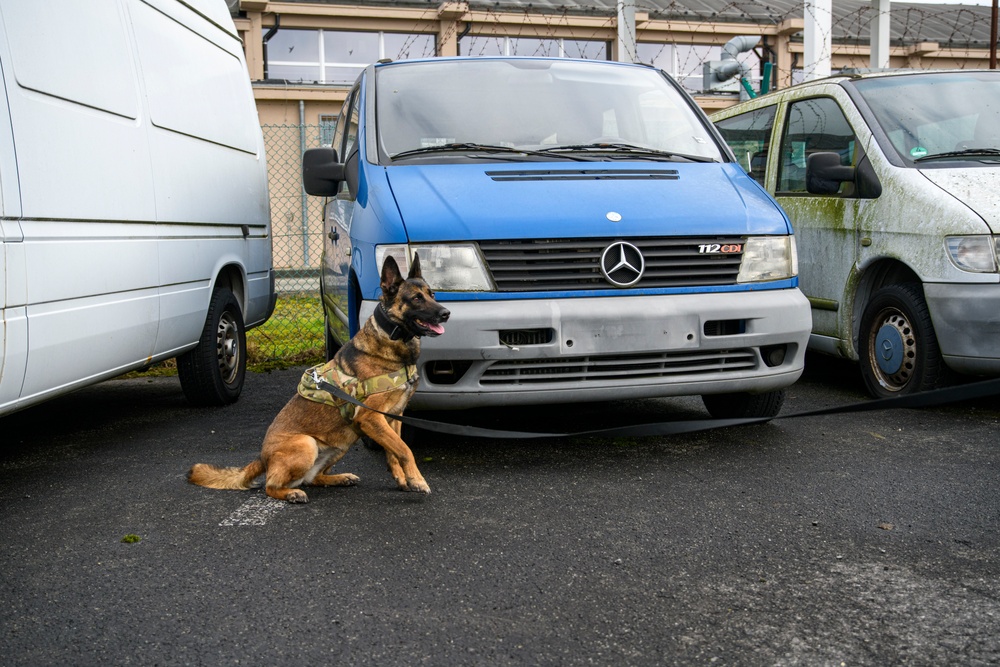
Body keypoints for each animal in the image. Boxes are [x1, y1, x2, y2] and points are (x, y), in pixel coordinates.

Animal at [187, 254, 450, 500]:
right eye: (416, 298)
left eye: (432, 294)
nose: (446, 313)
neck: (392, 339)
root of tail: (263, 458)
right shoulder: (371, 418)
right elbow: (404, 450)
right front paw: (417, 480)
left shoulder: (394, 416)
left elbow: (394, 451)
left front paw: (404, 480)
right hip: (308, 443)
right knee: (271, 486)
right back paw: (291, 494)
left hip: (341, 442)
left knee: (311, 478)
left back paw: (340, 478)